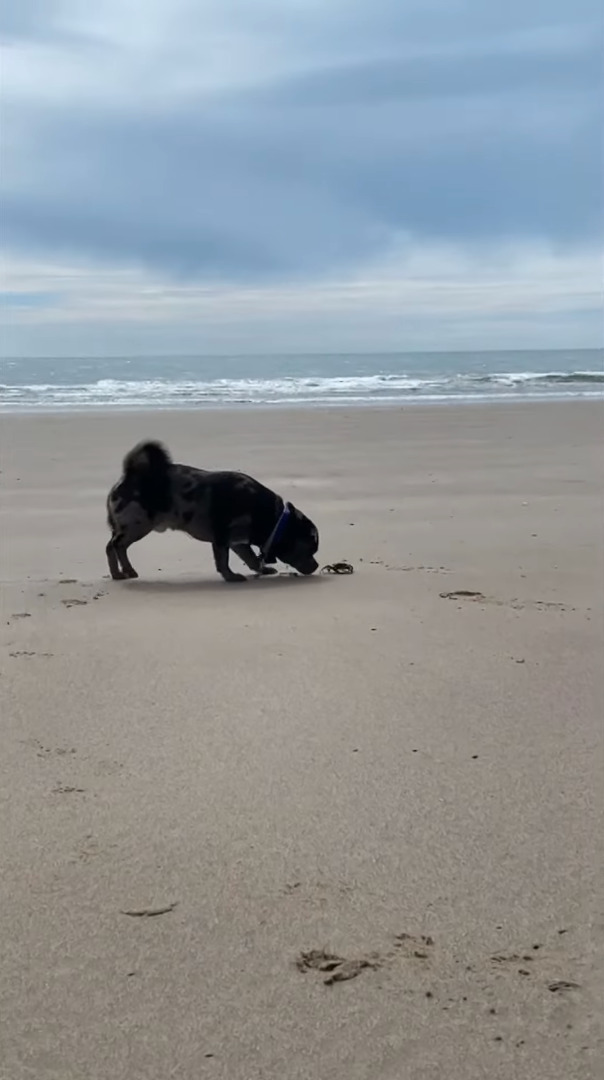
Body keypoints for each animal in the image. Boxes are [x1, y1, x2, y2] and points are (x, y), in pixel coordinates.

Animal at [106, 440, 321, 583]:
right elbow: (223, 561)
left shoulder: (238, 542)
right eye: (310, 549)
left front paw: (263, 569)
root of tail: (129, 475)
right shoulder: (223, 538)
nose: (317, 565)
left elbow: (251, 558)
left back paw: (120, 573)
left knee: (112, 547)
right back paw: (125, 570)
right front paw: (231, 576)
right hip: (137, 525)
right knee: (117, 546)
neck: (273, 519)